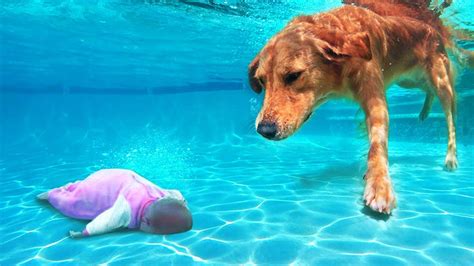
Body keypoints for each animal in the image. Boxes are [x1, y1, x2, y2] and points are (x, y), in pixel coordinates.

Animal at [248, 0, 466, 214]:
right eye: (261, 81)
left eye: (293, 76)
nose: (264, 130)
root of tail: (433, 29)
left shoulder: (374, 100)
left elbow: (377, 145)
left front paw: (379, 185)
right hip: (409, 80)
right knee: (426, 89)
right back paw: (424, 111)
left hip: (440, 79)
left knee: (451, 116)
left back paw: (451, 157)